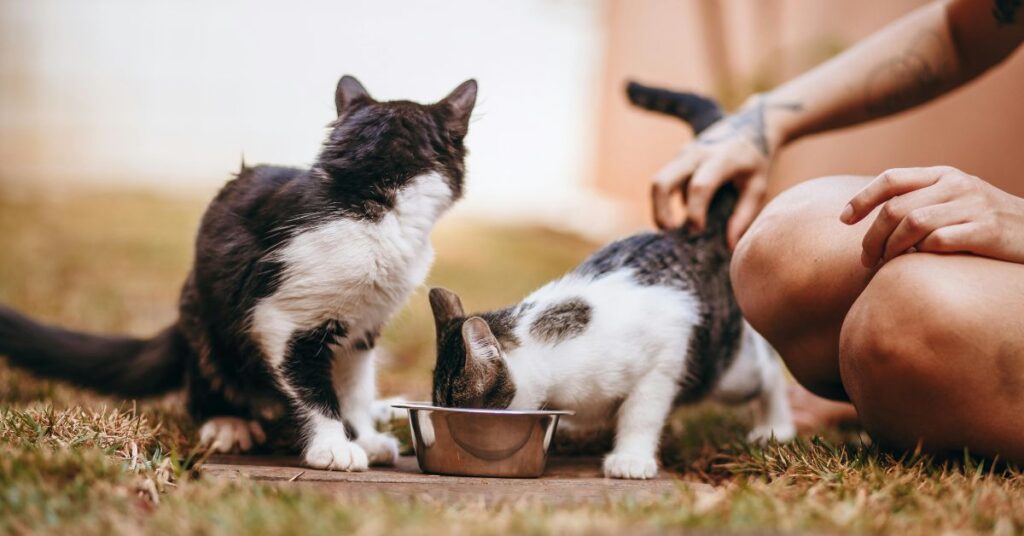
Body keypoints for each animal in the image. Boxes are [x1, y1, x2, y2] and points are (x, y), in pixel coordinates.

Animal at [0, 74, 479, 469]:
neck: (366, 198)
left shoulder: (363, 327)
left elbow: (355, 386)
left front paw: (363, 434)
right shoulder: (280, 318)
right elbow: (313, 388)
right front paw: (333, 445)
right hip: (207, 320)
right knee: (207, 379)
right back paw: (228, 422)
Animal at [428, 81, 794, 479]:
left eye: (454, 406)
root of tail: (691, 231)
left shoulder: (663, 360)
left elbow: (641, 414)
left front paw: (631, 458)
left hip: (726, 370)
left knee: (768, 368)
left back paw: (776, 427)